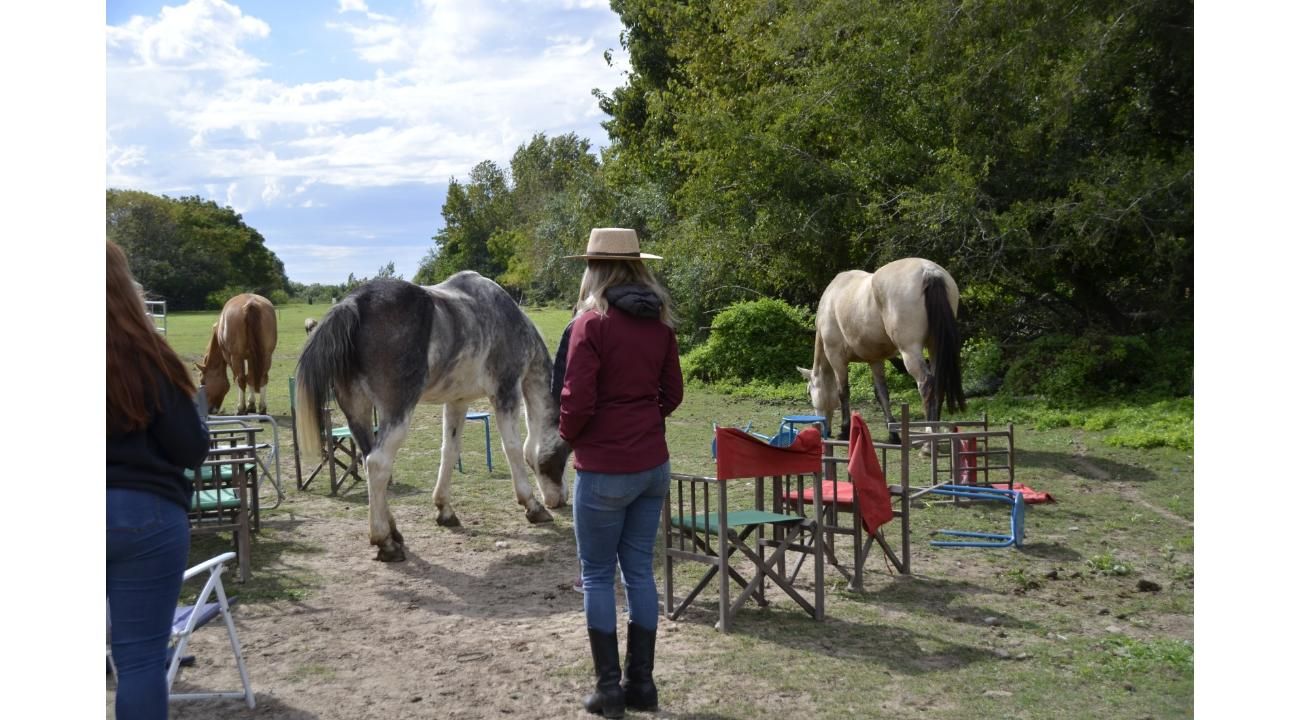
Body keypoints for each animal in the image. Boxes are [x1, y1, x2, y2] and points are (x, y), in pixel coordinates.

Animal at [293, 272, 571, 562]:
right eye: (565, 452)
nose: (561, 499)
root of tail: (353, 304)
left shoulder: (457, 402)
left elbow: (449, 451)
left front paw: (444, 510)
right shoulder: (506, 392)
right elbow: (514, 448)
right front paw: (533, 506)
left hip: (358, 415)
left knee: (371, 465)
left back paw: (394, 532)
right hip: (397, 412)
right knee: (378, 464)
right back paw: (385, 542)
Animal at [798, 257, 965, 441]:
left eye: (809, 392)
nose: (822, 431)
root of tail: (928, 271)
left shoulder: (836, 358)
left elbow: (843, 392)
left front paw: (845, 430)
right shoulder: (875, 360)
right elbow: (882, 394)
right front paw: (893, 433)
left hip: (910, 351)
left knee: (926, 384)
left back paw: (929, 435)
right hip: (934, 347)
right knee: (937, 383)